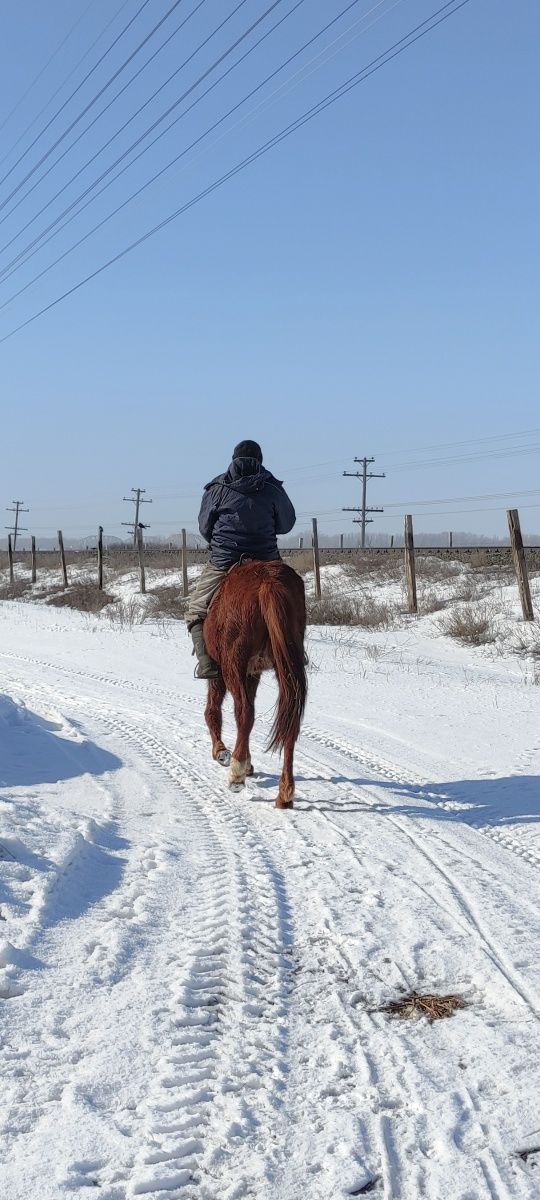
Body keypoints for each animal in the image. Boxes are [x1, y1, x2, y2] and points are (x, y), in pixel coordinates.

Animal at [202, 559, 306, 806]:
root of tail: (268, 581)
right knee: (290, 720)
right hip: (285, 665)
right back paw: (285, 793)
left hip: (232, 665)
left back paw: (236, 773)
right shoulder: (253, 673)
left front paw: (222, 753)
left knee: (244, 712)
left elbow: (213, 710)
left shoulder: (219, 669)